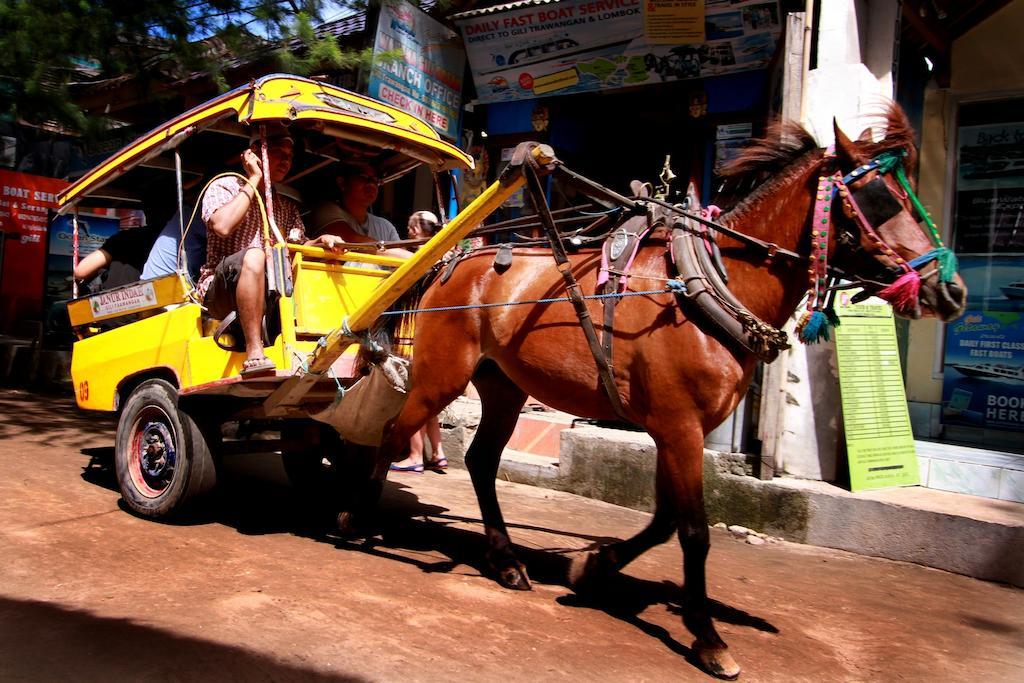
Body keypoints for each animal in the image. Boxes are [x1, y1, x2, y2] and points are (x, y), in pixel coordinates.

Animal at [368, 107, 966, 679]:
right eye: (881, 199)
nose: (952, 291)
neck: (713, 286)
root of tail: (450, 259)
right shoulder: (680, 427)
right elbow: (694, 531)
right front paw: (709, 639)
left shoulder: (674, 428)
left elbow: (664, 520)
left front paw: (593, 566)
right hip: (441, 377)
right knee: (394, 435)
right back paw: (360, 518)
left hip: (504, 388)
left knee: (481, 460)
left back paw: (506, 560)